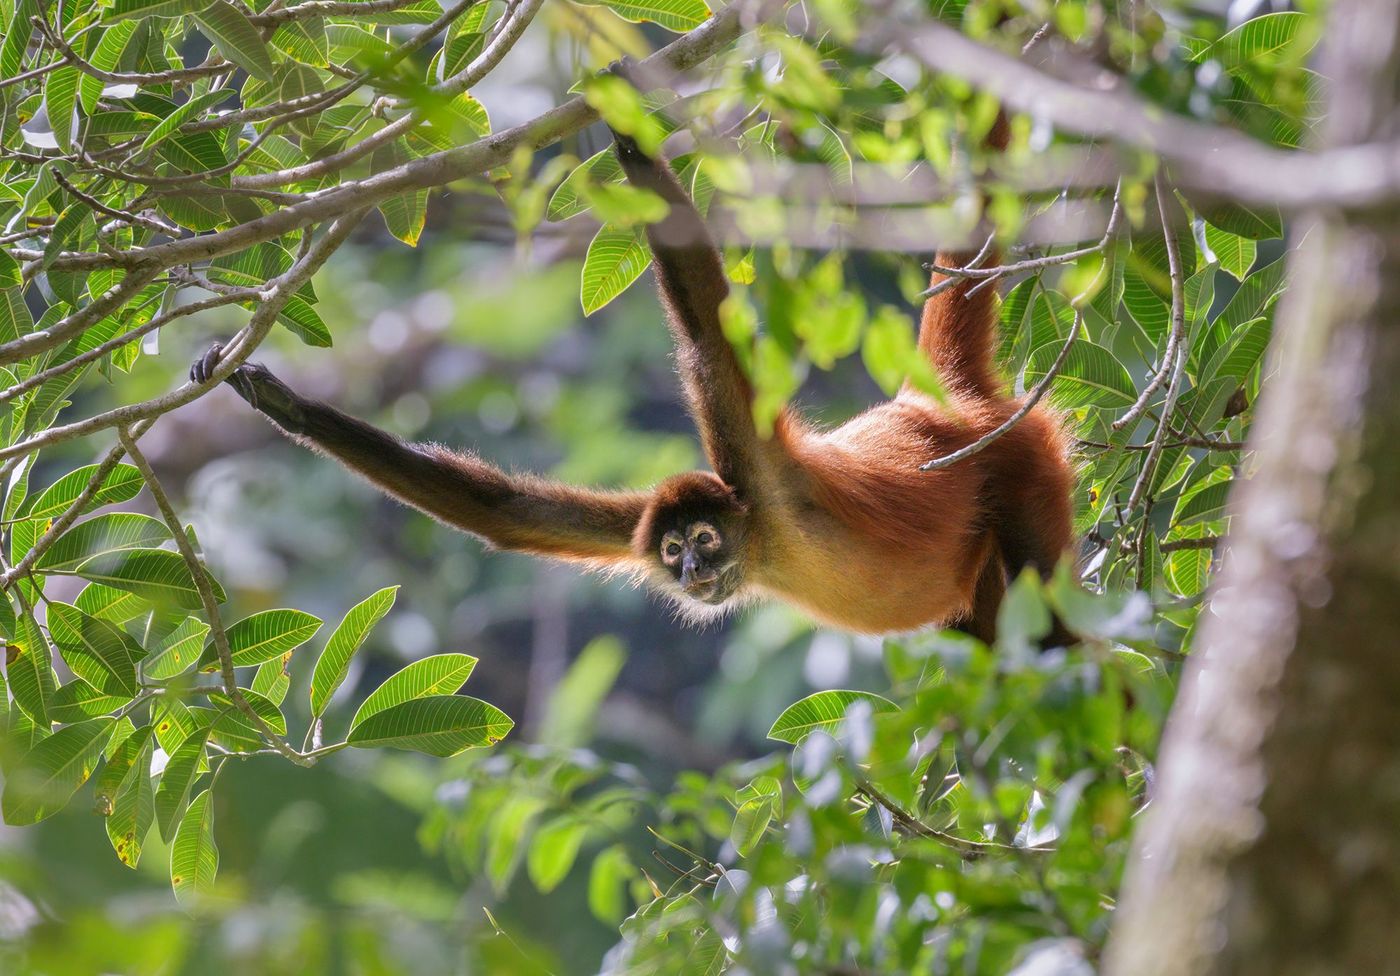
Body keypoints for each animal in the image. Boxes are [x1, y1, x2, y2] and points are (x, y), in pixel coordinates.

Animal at [191, 108, 1074, 643]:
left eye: (704, 540)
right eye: (674, 550)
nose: (689, 571)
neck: (764, 545)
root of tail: (943, 408)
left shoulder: (764, 473)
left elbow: (706, 333)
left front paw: (626, 128)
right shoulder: (655, 516)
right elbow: (507, 514)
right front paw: (280, 402)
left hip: (1023, 466)